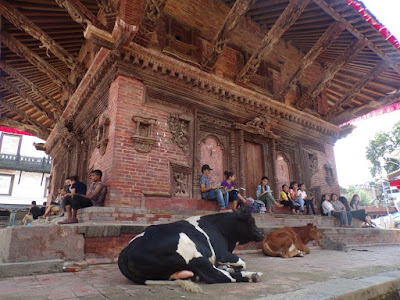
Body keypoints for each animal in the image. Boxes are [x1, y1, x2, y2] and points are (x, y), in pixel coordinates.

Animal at [117, 209, 264, 290]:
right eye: (251, 221)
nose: (262, 235)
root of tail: (126, 250)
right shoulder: (222, 253)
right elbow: (242, 262)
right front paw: (231, 268)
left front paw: (228, 267)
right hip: (193, 254)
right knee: (215, 276)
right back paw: (253, 275)